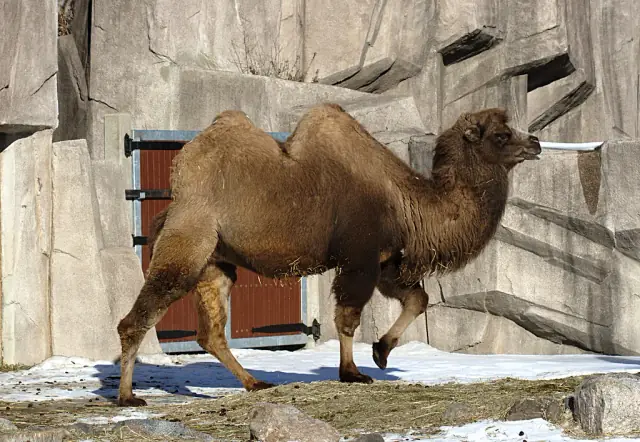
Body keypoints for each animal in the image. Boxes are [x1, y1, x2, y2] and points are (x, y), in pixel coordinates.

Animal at [116, 104, 541, 406]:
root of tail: (177, 192)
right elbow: (348, 318)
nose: (536, 142)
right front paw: (353, 372)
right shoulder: (360, 256)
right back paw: (127, 396)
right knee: (142, 314)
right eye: (501, 135)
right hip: (189, 240)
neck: (407, 203)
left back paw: (256, 383)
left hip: (216, 262)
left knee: (211, 332)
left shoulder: (386, 260)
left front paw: (382, 352)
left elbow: (417, 299)